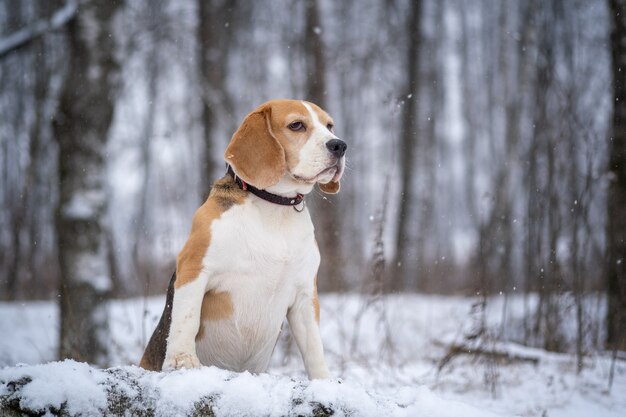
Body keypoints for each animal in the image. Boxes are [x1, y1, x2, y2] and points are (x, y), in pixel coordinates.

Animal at [138, 99, 344, 378]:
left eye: (329, 126)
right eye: (297, 125)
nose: (340, 145)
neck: (274, 208)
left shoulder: (305, 294)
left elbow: (313, 347)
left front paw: (323, 380)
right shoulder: (194, 267)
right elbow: (186, 319)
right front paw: (182, 360)